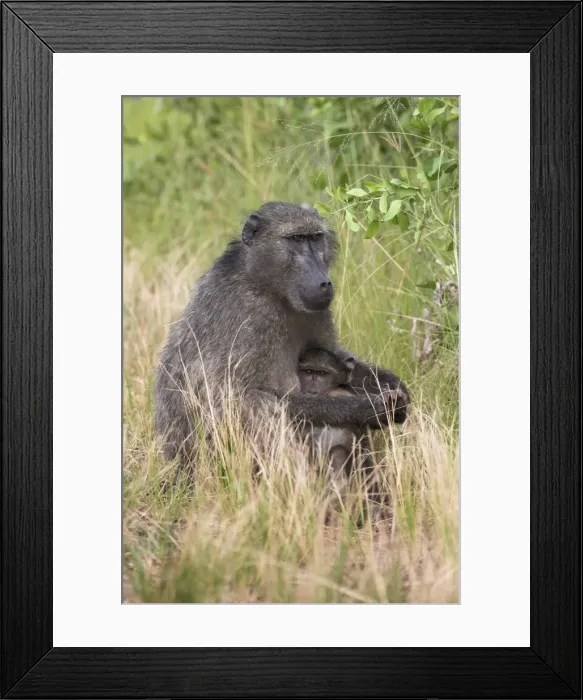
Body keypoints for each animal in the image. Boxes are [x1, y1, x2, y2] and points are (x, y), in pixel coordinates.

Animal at [155, 201, 409, 469]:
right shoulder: (252, 314)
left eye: (315, 238)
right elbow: (232, 397)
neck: (266, 284)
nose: (323, 283)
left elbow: (336, 360)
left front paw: (392, 386)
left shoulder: (317, 313)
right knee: (257, 405)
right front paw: (367, 408)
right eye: (296, 239)